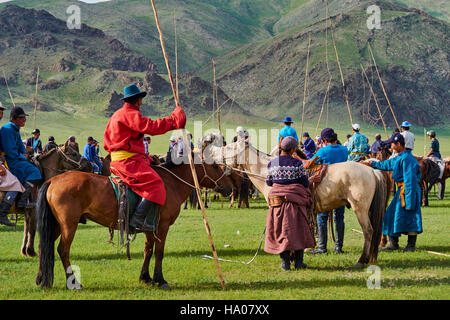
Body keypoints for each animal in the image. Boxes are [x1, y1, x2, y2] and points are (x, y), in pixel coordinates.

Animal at [36, 158, 236, 290]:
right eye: (216, 167)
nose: (230, 188)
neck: (171, 184)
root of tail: (53, 180)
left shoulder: (149, 228)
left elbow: (148, 251)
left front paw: (145, 278)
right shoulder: (162, 227)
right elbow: (159, 253)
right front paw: (160, 280)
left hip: (55, 226)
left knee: (43, 246)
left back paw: (41, 279)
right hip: (69, 225)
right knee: (63, 250)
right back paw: (74, 283)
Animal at [206, 140, 392, 268]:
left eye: (229, 147)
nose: (211, 155)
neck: (265, 171)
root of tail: (372, 170)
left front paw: (289, 258)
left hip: (360, 209)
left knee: (368, 231)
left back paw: (361, 261)